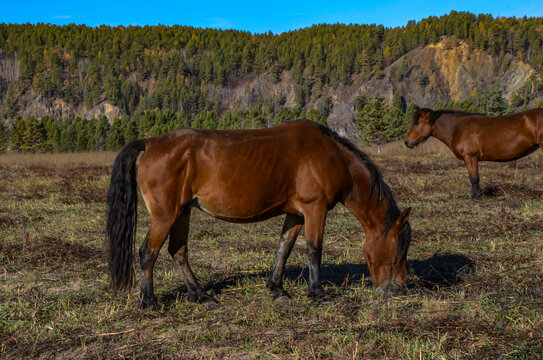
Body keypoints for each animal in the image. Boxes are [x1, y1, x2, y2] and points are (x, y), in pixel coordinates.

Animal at [107, 120, 412, 310]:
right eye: (399, 250)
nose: (397, 289)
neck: (332, 156)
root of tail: (152, 142)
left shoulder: (297, 214)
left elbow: (284, 248)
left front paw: (277, 289)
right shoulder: (315, 209)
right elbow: (314, 250)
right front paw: (317, 293)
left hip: (182, 213)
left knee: (178, 251)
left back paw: (201, 296)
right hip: (166, 216)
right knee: (148, 252)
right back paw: (149, 302)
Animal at [404, 105, 543, 198]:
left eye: (417, 123)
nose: (407, 142)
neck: (458, 129)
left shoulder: (470, 157)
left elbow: (474, 178)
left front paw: (476, 197)